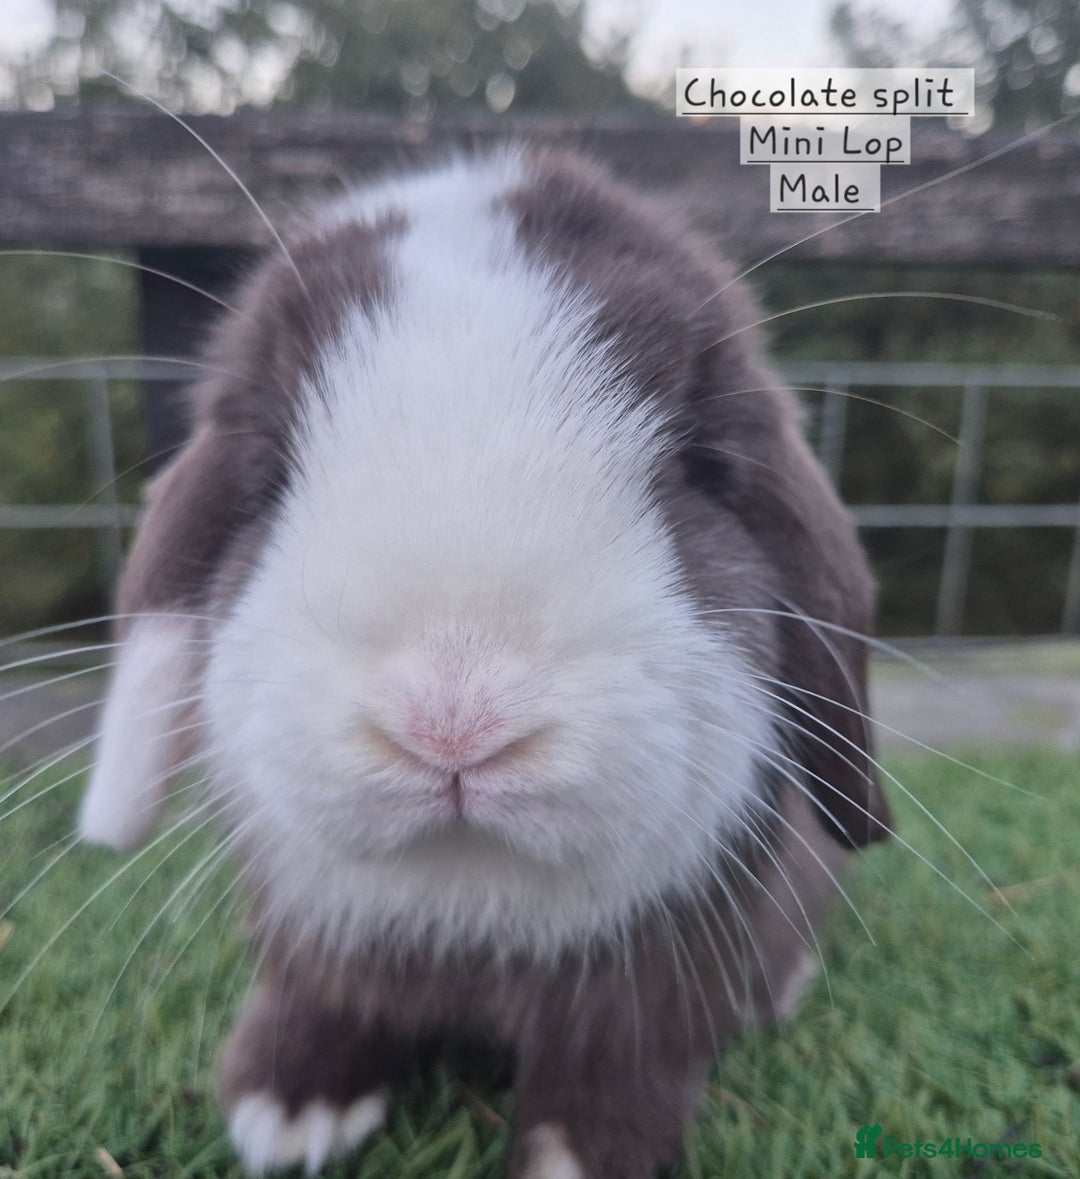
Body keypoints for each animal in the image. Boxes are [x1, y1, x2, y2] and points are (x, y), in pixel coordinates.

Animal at [78, 144, 890, 1179]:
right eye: (273, 471)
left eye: (694, 467)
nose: (452, 726)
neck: (470, 907)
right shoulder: (312, 938)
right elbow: (323, 999)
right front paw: (287, 1112)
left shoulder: (656, 987)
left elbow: (623, 1055)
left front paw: (575, 1155)